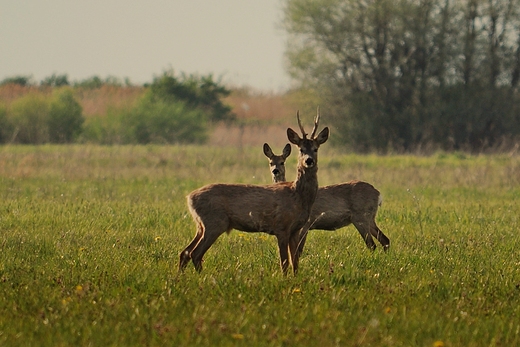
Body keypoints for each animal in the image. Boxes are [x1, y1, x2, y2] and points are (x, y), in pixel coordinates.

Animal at [177, 110, 328, 276]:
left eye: (315, 148)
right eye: (301, 149)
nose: (309, 160)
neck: (298, 196)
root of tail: (189, 197)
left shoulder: (295, 229)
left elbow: (295, 261)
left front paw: (296, 278)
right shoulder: (281, 226)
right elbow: (284, 262)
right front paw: (285, 279)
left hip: (201, 225)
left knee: (185, 252)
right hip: (214, 222)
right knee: (195, 253)